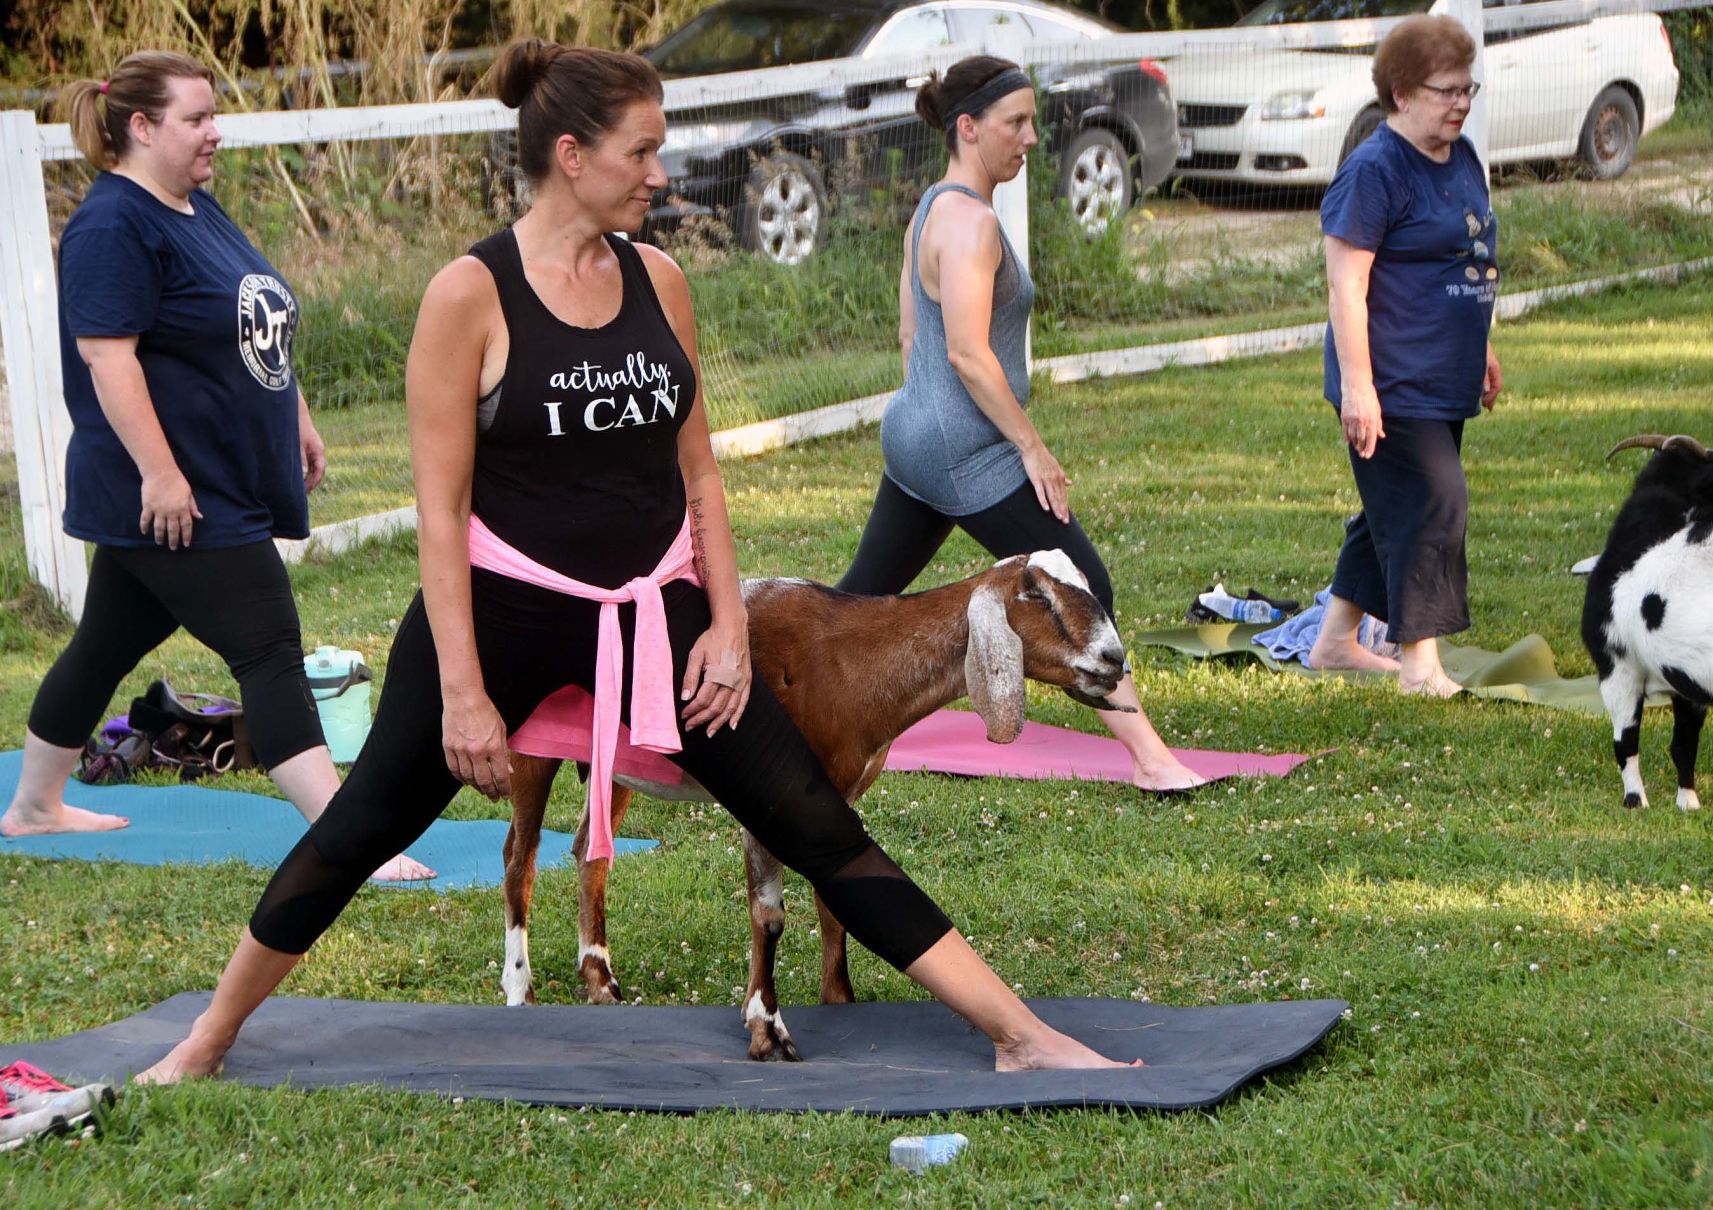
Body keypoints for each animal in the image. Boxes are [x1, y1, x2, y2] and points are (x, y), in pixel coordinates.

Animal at [500, 548, 1130, 1055]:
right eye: (1035, 593)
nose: (1114, 658)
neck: (852, 661)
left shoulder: (838, 796)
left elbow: (835, 901)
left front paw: (839, 1001)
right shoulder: (770, 800)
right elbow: (770, 915)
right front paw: (765, 1027)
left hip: (616, 761)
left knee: (589, 849)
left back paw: (599, 979)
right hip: (525, 745)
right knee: (518, 860)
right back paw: (519, 992)